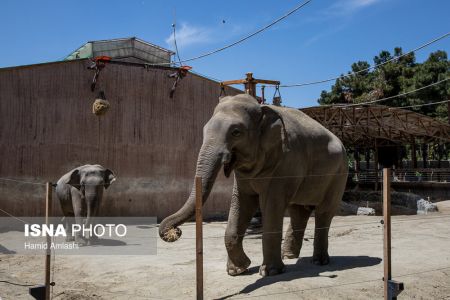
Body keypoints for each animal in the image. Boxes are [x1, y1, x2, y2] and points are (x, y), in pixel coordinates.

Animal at [159, 95, 348, 276]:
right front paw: (238, 270)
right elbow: (242, 203)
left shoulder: (286, 164)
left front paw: (270, 272)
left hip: (339, 174)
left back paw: (319, 261)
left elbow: (271, 205)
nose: (174, 232)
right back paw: (289, 256)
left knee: (324, 211)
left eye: (236, 132)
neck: (263, 109)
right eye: (204, 130)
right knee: (298, 211)